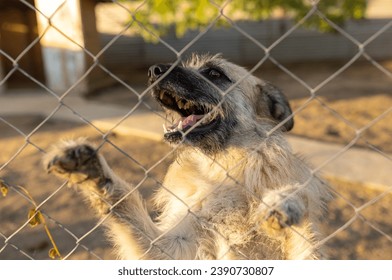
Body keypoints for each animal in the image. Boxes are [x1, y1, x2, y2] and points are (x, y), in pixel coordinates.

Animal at [44, 53, 330, 260]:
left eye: (214, 73)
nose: (153, 70)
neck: (225, 167)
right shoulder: (173, 247)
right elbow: (123, 201)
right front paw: (92, 172)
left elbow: (303, 217)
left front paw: (285, 203)